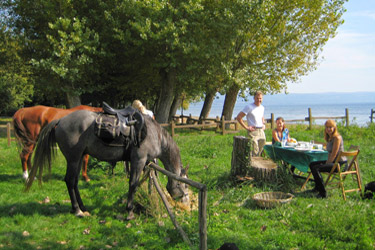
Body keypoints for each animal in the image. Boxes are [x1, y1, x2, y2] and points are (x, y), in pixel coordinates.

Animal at [26, 110, 189, 220]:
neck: (155, 135)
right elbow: (133, 184)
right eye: (185, 186)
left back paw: (83, 207)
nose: (185, 202)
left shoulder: (144, 163)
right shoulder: (138, 160)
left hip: (78, 158)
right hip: (73, 158)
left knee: (75, 182)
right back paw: (77, 210)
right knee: (70, 181)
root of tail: (60, 120)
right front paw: (129, 211)